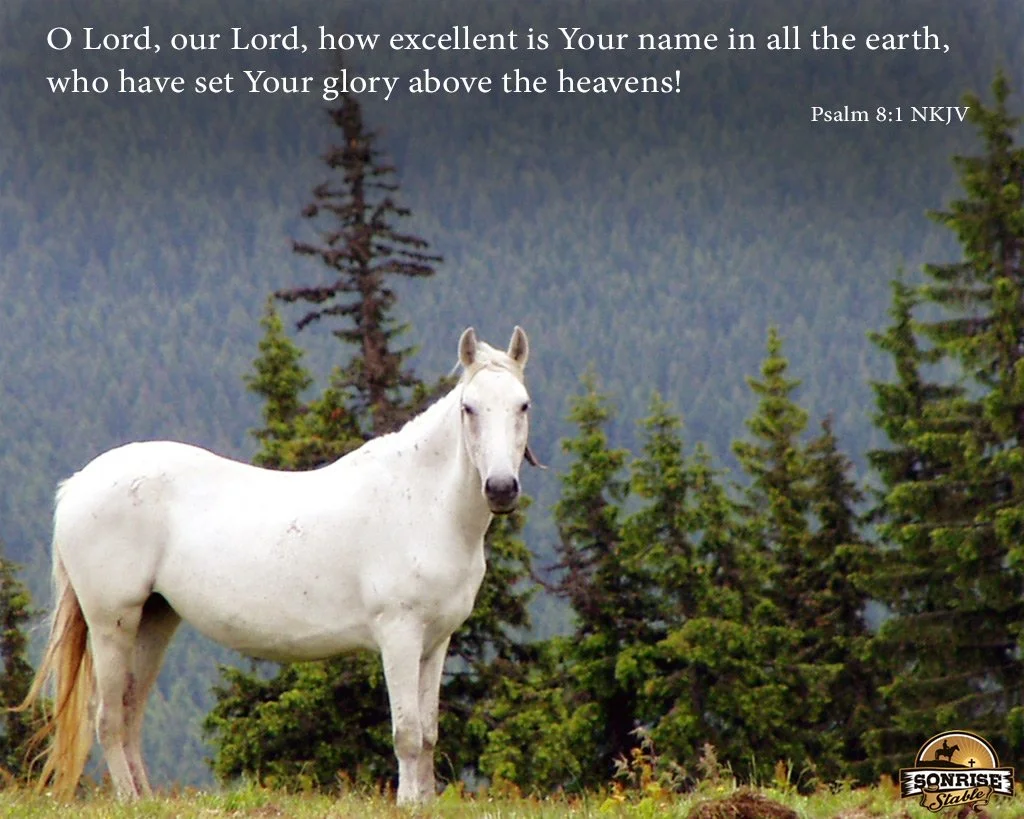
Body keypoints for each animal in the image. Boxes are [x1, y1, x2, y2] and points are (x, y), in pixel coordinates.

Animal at [18, 325, 536, 805]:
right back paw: (130, 800)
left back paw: (148, 799)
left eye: (523, 406)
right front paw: (408, 804)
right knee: (107, 718)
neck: (423, 503)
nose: (500, 488)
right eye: (469, 409)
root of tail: (77, 484)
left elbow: (428, 734)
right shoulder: (401, 636)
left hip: (154, 619)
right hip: (112, 622)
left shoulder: (435, 642)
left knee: (129, 714)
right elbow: (407, 734)